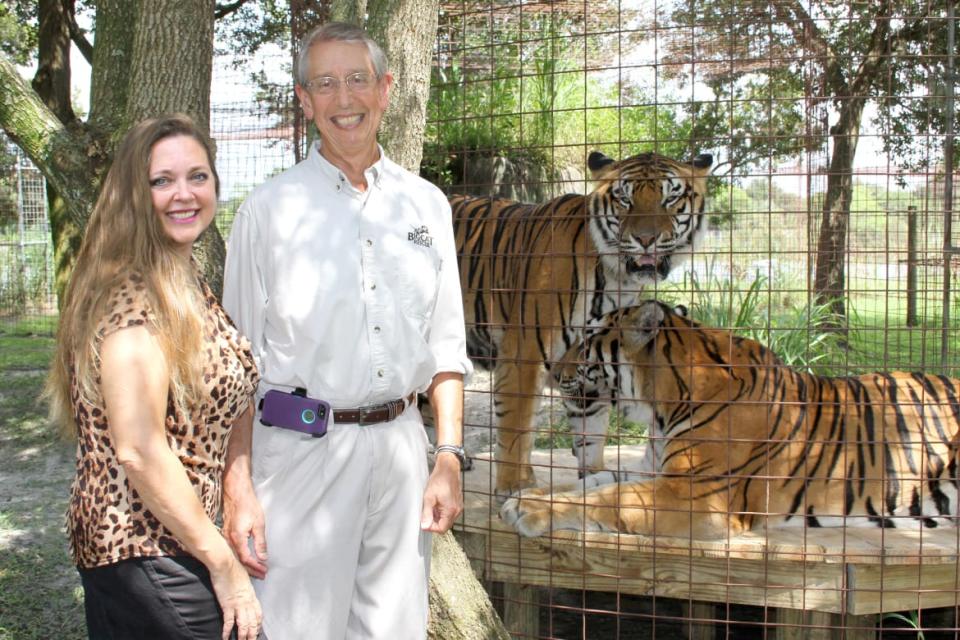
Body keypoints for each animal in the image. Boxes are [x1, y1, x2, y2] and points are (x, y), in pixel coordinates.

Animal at [452, 151, 712, 496]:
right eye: (624, 199)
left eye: (670, 198)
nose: (646, 239)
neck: (618, 278)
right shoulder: (524, 356)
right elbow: (515, 428)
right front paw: (513, 486)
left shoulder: (588, 363)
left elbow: (591, 433)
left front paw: (592, 481)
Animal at [502, 300, 960, 536]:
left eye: (586, 342)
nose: (552, 372)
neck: (659, 408)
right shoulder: (655, 470)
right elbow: (590, 483)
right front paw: (527, 493)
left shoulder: (696, 494)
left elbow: (607, 497)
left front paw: (528, 509)